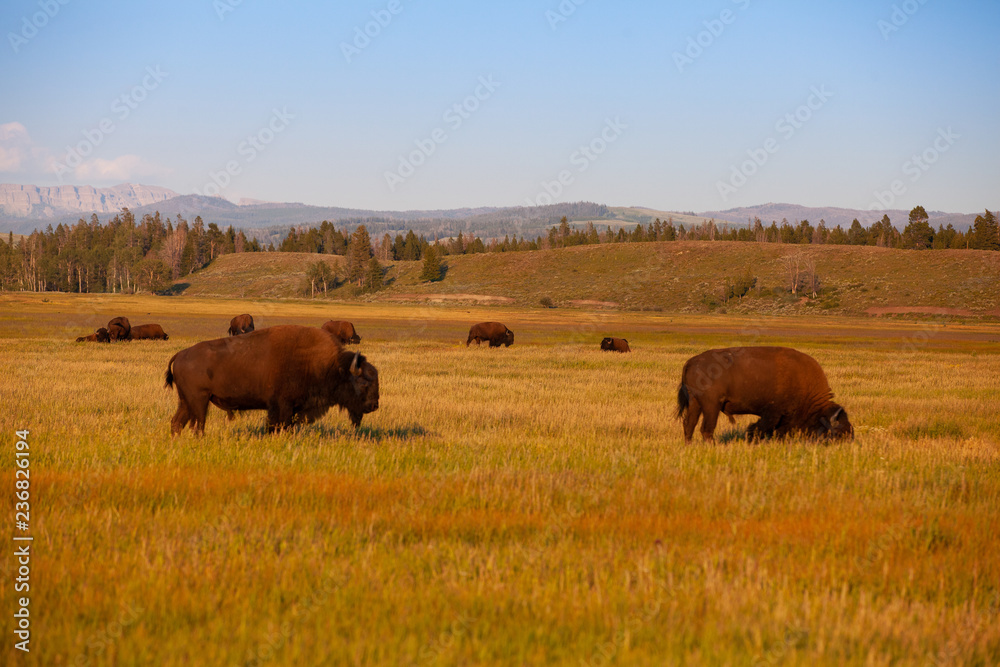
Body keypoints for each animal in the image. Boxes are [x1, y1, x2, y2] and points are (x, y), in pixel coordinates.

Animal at [164, 324, 378, 438]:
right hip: (199, 401)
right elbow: (277, 425)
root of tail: (181, 354)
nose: (374, 405)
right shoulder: (281, 406)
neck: (329, 365)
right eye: (364, 383)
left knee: (177, 422)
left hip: (185, 401)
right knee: (197, 424)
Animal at [672, 348, 852, 446]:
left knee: (689, 424)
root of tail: (690, 362)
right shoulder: (773, 413)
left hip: (695, 403)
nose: (846, 444)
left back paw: (689, 446)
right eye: (838, 433)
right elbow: (760, 428)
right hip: (711, 406)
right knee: (706, 428)